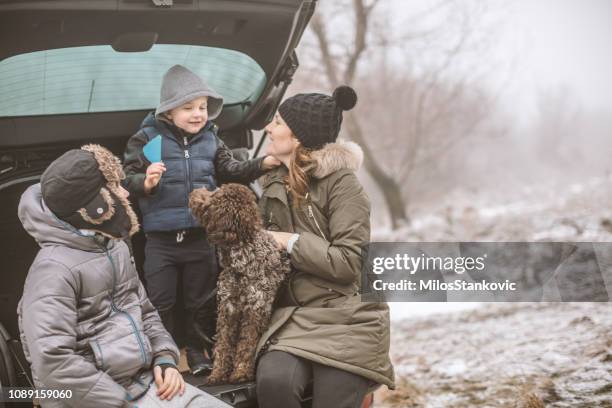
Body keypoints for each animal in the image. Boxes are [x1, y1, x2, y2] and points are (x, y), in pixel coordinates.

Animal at [188, 185, 290, 386]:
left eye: (214, 196)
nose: (194, 192)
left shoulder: (255, 309)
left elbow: (247, 344)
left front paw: (241, 372)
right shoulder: (228, 309)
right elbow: (223, 345)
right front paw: (218, 373)